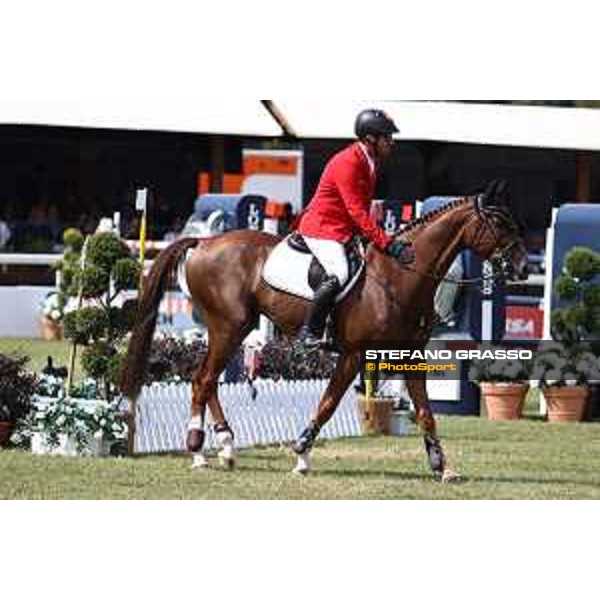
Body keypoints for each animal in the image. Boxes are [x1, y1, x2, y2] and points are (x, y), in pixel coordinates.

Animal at [120, 179, 524, 482]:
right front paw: (301, 454)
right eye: (501, 223)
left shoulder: (409, 355)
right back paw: (199, 450)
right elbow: (328, 403)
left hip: (235, 328)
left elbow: (425, 411)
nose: (520, 266)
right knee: (203, 379)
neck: (399, 276)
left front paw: (442, 467)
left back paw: (226, 446)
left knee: (208, 380)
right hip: (228, 326)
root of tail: (204, 242)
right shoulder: (354, 354)